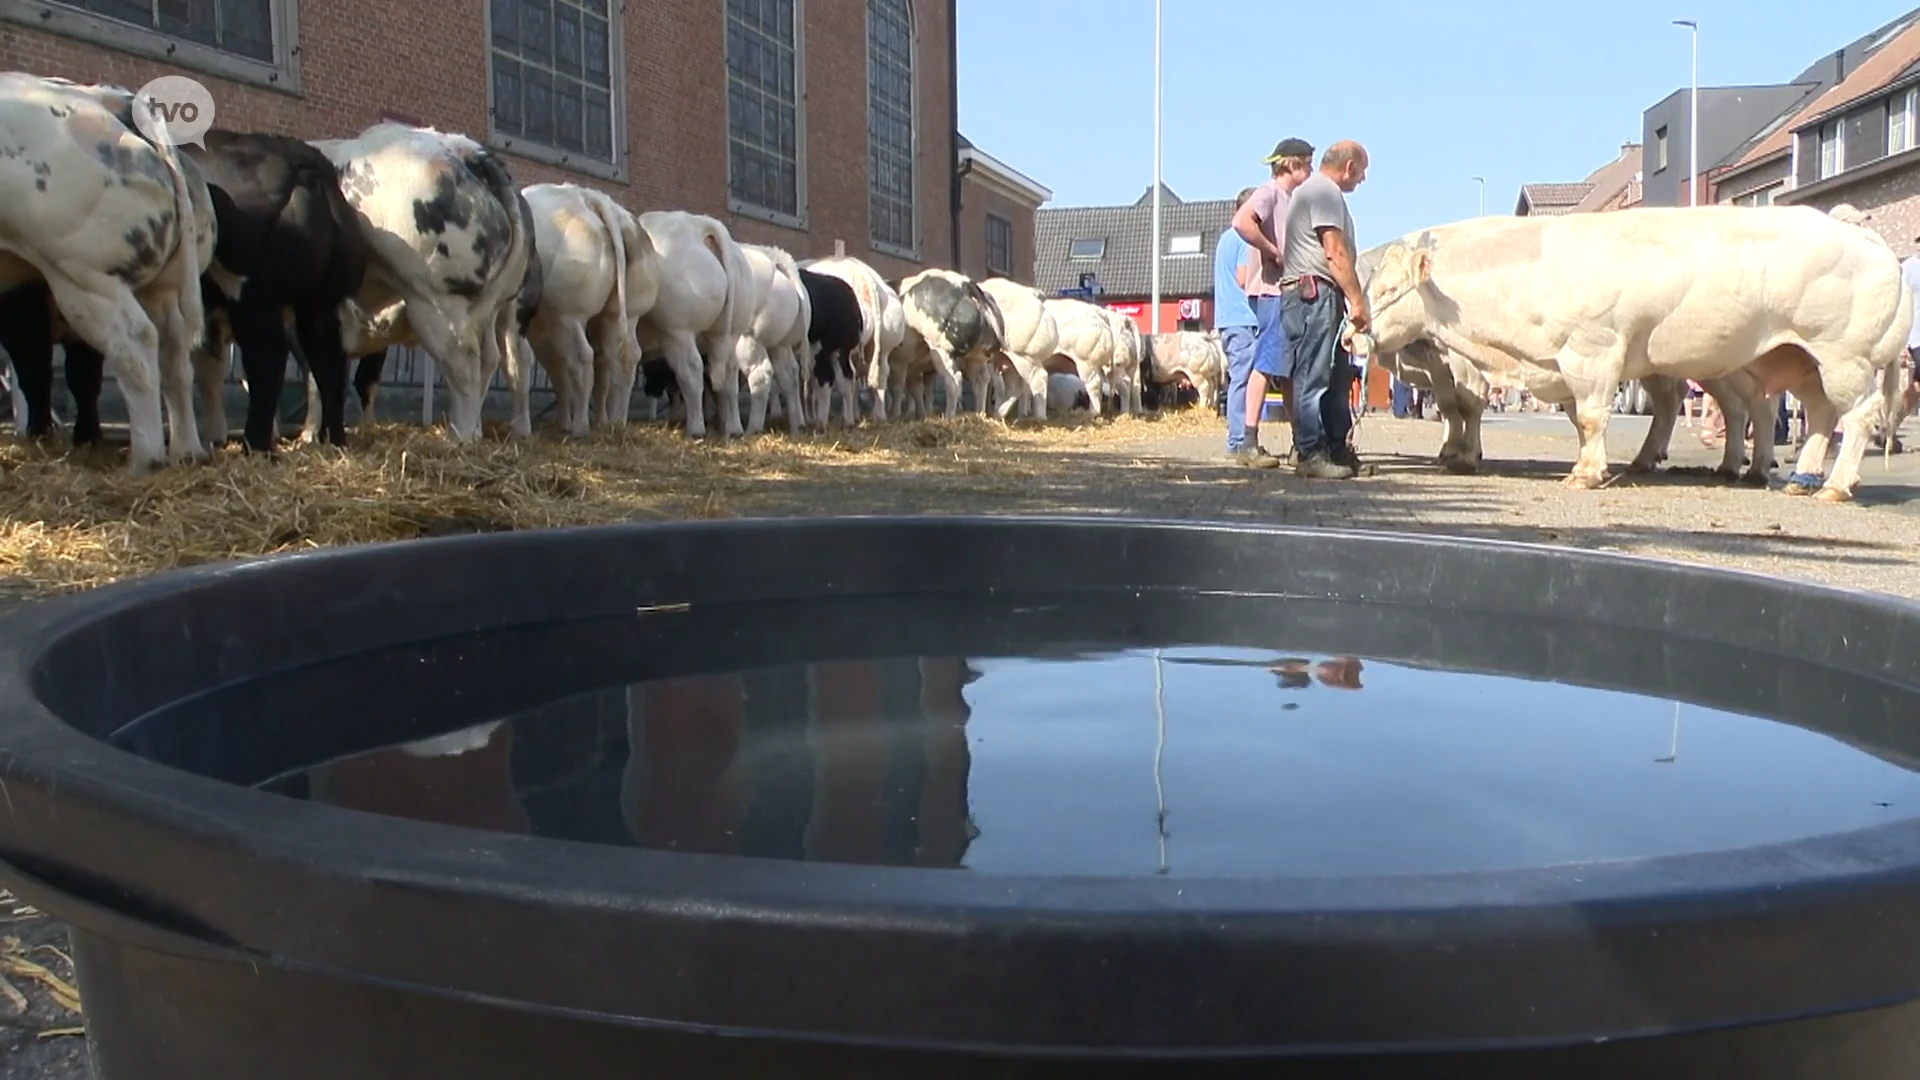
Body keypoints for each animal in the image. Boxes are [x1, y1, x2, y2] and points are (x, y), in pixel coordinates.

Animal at [1367, 203, 1904, 499]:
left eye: (1388, 288)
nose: (1357, 331)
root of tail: (1861, 232)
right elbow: (1578, 419)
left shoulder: (1592, 351)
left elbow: (1588, 417)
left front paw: (1585, 474)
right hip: (1797, 360)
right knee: (1810, 413)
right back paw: (1787, 474)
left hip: (1842, 356)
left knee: (1853, 414)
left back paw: (1832, 484)